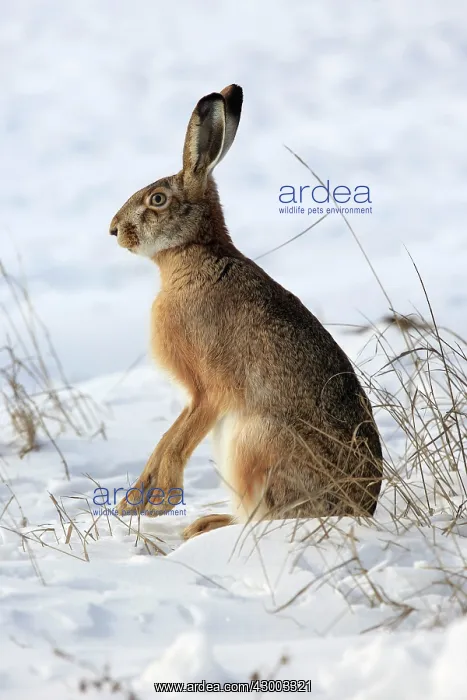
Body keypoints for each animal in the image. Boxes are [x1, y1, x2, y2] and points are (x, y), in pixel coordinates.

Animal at [109, 84, 383, 539]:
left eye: (158, 200)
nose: (114, 230)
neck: (195, 254)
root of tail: (360, 507)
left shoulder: (207, 390)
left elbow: (175, 440)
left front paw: (150, 501)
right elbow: (167, 438)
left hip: (253, 441)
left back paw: (202, 528)